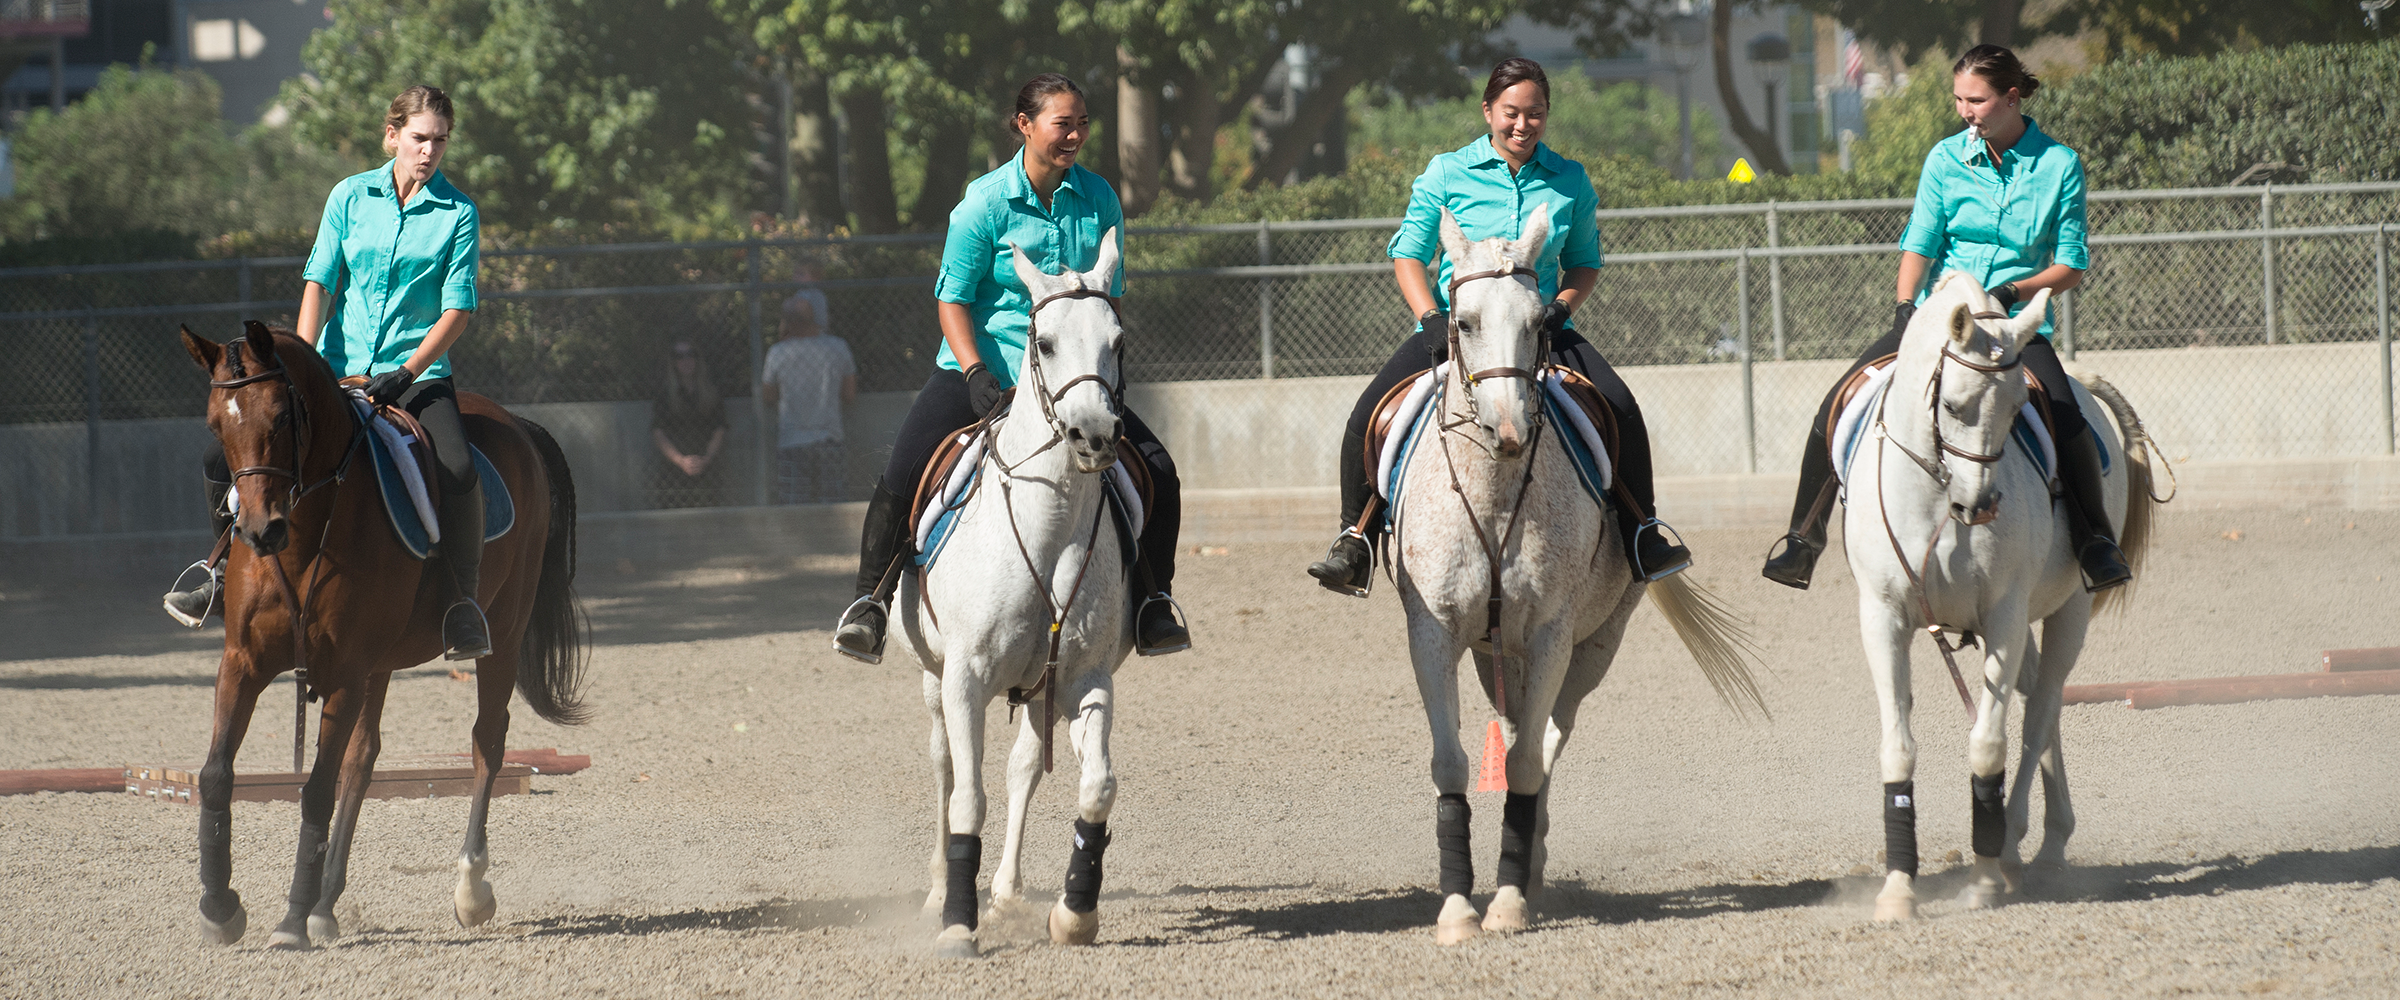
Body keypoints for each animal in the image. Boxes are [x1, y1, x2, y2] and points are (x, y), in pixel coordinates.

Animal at [177, 320, 588, 949]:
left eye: (282, 416)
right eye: (215, 426)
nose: (259, 531)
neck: (303, 540)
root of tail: (516, 424)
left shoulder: (345, 672)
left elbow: (317, 789)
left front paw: (290, 920)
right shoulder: (244, 661)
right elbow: (217, 775)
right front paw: (220, 907)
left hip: (504, 631)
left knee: (486, 742)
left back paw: (470, 889)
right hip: (381, 661)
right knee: (364, 758)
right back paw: (327, 904)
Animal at [893, 233, 1138, 959]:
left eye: (1118, 340)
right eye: (1047, 342)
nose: (1094, 434)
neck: (1044, 525)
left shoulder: (1084, 678)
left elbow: (1096, 786)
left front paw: (1075, 912)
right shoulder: (965, 677)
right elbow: (966, 797)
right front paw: (956, 923)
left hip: (1038, 688)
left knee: (1024, 767)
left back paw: (1005, 891)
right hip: (935, 677)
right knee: (946, 767)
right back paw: (941, 891)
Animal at [1392, 211, 1767, 945]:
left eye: (1539, 320)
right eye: (1464, 321)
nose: (1509, 430)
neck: (1496, 492)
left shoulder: (1551, 634)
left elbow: (1528, 762)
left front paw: (1508, 902)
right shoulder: (1434, 632)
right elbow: (1451, 762)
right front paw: (1457, 909)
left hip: (1592, 645)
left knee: (1544, 742)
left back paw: (1530, 862)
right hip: (1492, 651)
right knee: (1515, 731)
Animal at [1840, 272, 2164, 920]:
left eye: (2018, 408)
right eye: (1951, 405)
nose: (1982, 505)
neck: (1937, 500)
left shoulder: (2005, 618)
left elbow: (1989, 745)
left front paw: (1985, 878)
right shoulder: (1884, 617)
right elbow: (1898, 748)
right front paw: (1898, 890)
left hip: (2070, 610)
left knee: (2040, 712)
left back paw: (2021, 848)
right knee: (2042, 698)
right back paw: (2040, 843)